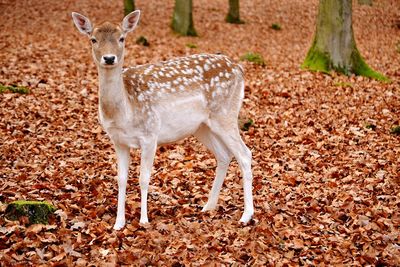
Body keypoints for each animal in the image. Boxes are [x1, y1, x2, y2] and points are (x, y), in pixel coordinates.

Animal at [71, 10, 253, 230]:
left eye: (122, 38)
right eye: (93, 39)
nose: (109, 58)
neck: (125, 111)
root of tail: (239, 69)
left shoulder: (150, 134)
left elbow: (143, 178)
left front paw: (143, 220)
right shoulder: (118, 141)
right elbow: (121, 179)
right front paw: (118, 223)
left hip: (226, 113)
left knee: (245, 154)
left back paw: (246, 216)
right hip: (202, 126)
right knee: (224, 155)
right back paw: (208, 207)